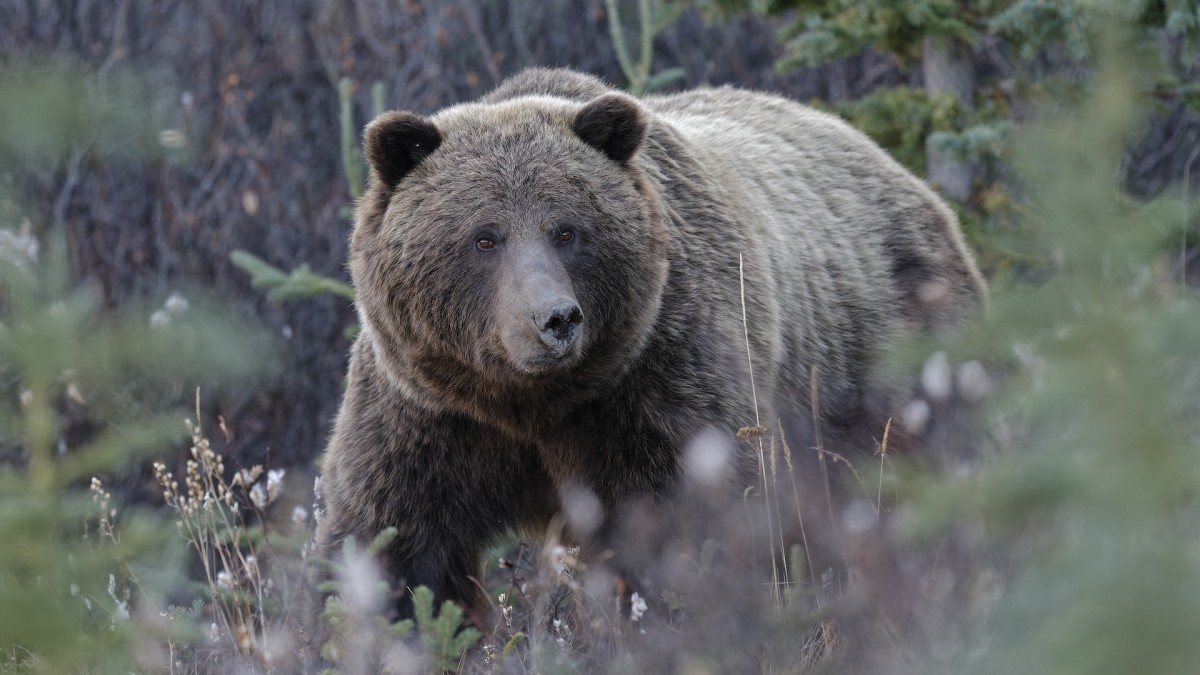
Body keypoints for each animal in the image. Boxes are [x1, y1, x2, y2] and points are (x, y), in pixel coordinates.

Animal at [316, 66, 984, 619]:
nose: (555, 319)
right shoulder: (429, 414)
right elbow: (390, 544)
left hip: (901, 362)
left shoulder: (660, 380)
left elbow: (693, 526)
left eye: (567, 230)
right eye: (485, 237)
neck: (532, 405)